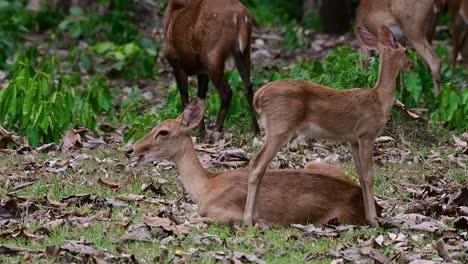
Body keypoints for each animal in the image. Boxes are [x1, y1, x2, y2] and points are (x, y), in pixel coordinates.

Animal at [126, 98, 382, 226]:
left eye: (163, 132)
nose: (129, 149)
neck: (206, 187)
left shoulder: (229, 213)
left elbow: (193, 219)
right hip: (317, 163)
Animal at [164, 0, 260, 142]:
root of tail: (240, 16)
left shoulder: (177, 64)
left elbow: (185, 98)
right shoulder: (202, 71)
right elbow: (200, 99)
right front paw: (201, 133)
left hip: (212, 55)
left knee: (227, 92)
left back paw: (216, 131)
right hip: (244, 51)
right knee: (248, 86)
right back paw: (255, 130)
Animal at [241, 25, 414, 227]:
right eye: (405, 50)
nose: (412, 65)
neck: (379, 99)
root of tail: (259, 96)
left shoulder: (353, 140)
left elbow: (361, 177)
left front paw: (369, 217)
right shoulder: (367, 134)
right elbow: (369, 177)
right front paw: (374, 220)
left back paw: (255, 218)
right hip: (280, 126)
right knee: (257, 164)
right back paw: (247, 220)